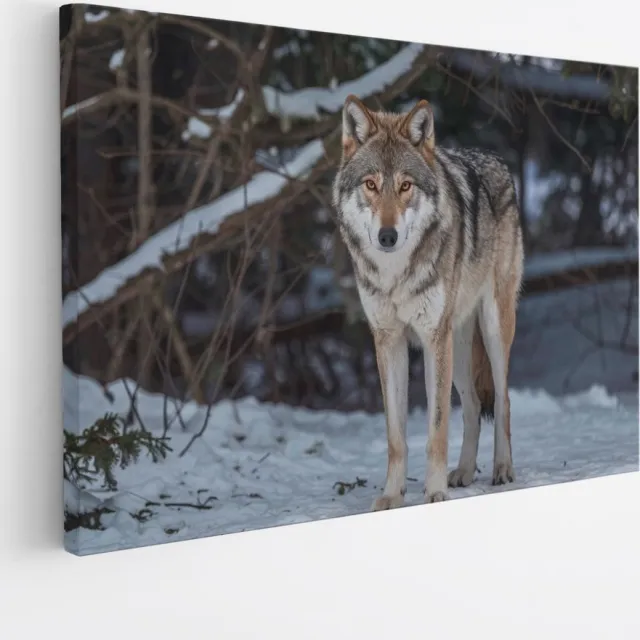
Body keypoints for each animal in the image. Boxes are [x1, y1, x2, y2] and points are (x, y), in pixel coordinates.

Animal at [331, 95, 524, 510]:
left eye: (405, 186)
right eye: (371, 185)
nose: (387, 236)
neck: (395, 275)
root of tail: (496, 160)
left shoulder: (433, 337)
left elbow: (437, 428)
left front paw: (435, 493)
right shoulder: (389, 341)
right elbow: (396, 436)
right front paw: (392, 496)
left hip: (491, 328)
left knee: (502, 400)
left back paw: (502, 469)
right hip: (459, 345)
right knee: (472, 406)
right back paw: (464, 472)